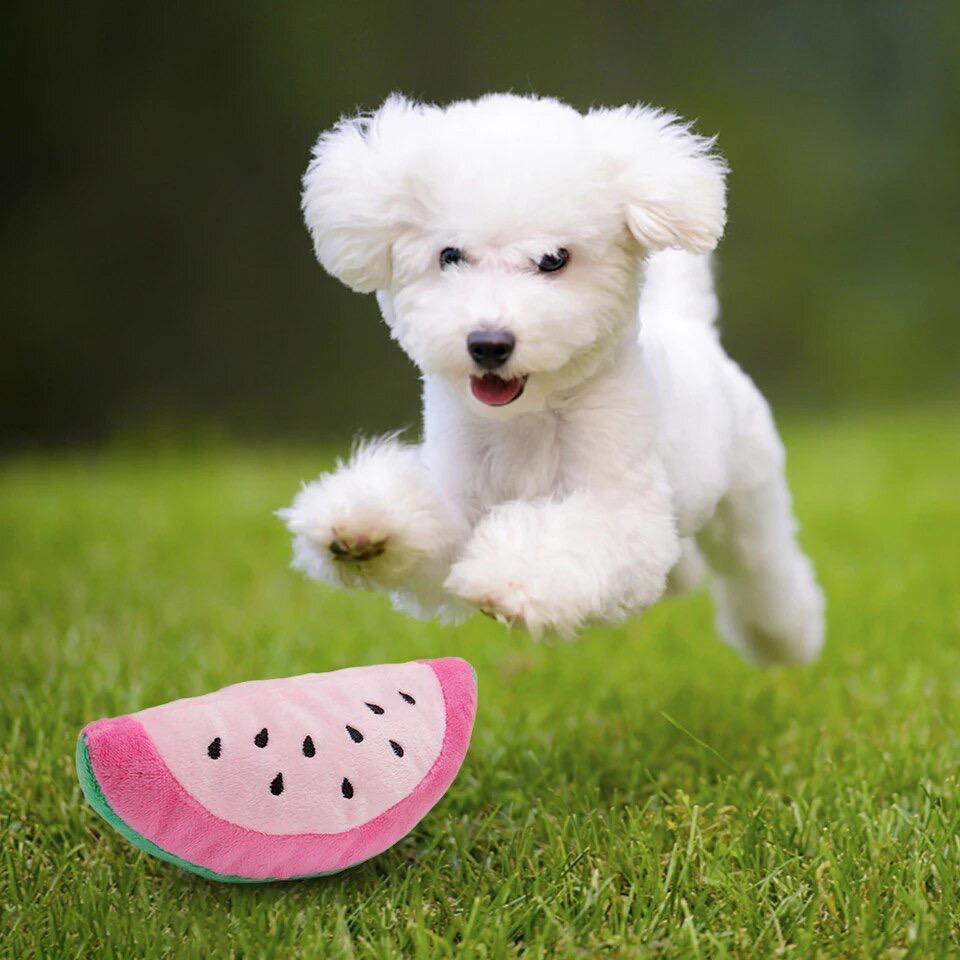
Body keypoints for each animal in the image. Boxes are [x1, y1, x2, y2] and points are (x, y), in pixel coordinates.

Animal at [280, 95, 824, 668]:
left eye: (553, 260)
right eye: (449, 256)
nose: (489, 343)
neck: (527, 421)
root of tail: (688, 322)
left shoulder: (621, 510)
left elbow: (572, 540)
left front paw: (511, 580)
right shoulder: (461, 499)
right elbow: (427, 524)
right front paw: (361, 529)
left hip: (750, 488)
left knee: (762, 565)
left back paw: (784, 636)